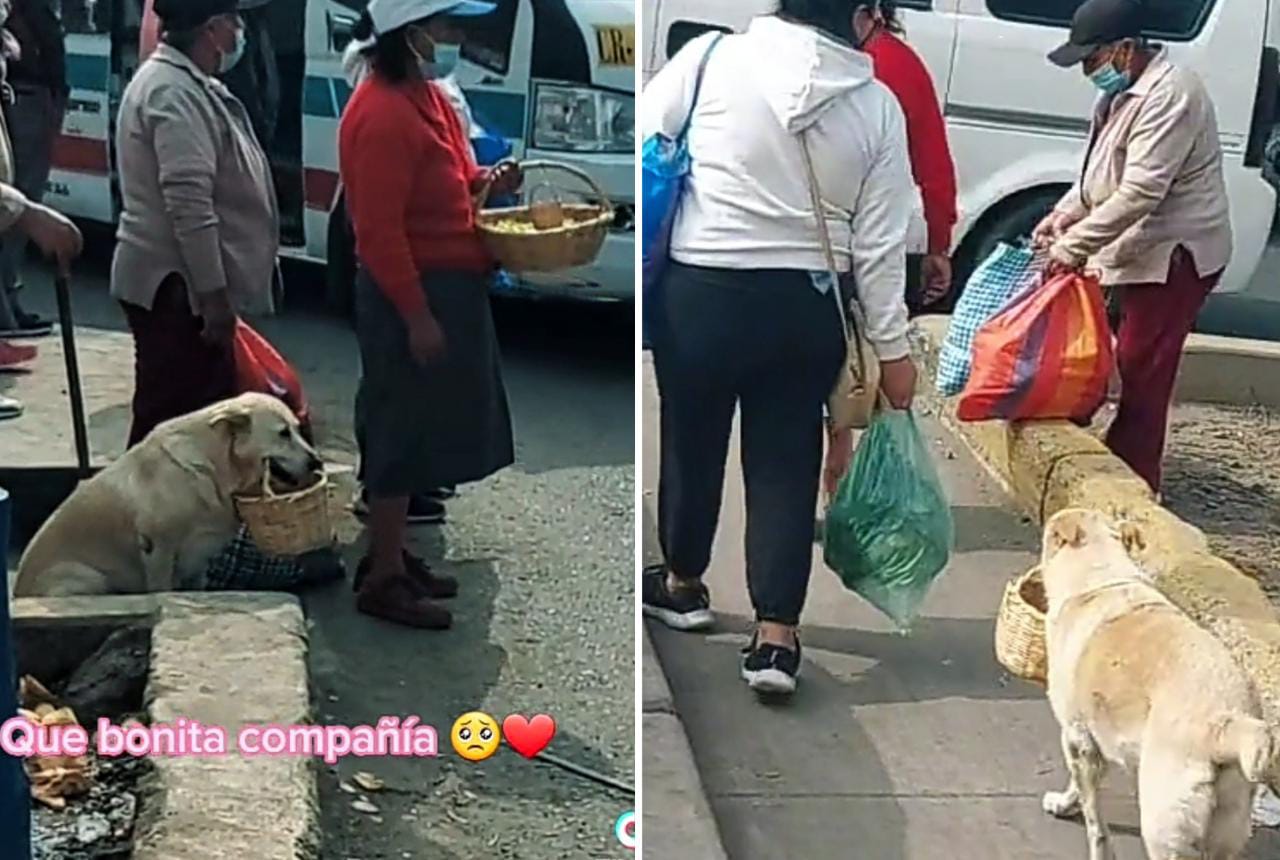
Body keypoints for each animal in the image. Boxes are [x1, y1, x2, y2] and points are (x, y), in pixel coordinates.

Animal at [1039, 511, 1269, 860]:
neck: (1101, 579)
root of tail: (1224, 727)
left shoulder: (1078, 739)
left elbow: (1093, 818)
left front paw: (1068, 807)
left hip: (1163, 824)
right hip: (1228, 825)